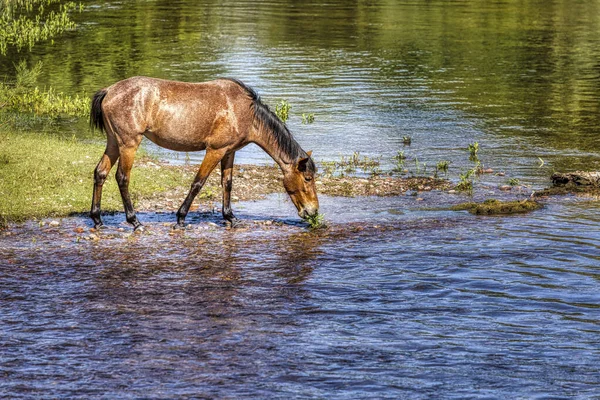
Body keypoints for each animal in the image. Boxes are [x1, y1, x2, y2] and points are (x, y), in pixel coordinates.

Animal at [88, 76, 318, 230]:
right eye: (307, 178)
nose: (313, 211)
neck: (246, 113)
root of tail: (109, 91)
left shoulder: (229, 152)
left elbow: (227, 183)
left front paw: (230, 217)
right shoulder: (215, 151)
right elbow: (198, 182)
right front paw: (181, 217)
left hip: (114, 143)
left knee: (100, 173)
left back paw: (97, 219)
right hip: (128, 144)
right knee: (122, 178)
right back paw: (135, 221)